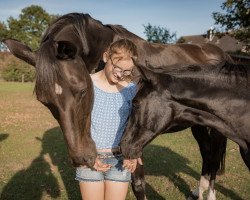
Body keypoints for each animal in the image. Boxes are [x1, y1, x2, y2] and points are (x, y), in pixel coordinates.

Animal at [2, 12, 230, 200]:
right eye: (44, 101)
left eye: (82, 90)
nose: (82, 158)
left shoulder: (134, 136)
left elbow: (138, 184)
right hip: (197, 124)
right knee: (206, 153)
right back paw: (197, 192)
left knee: (213, 155)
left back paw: (210, 195)